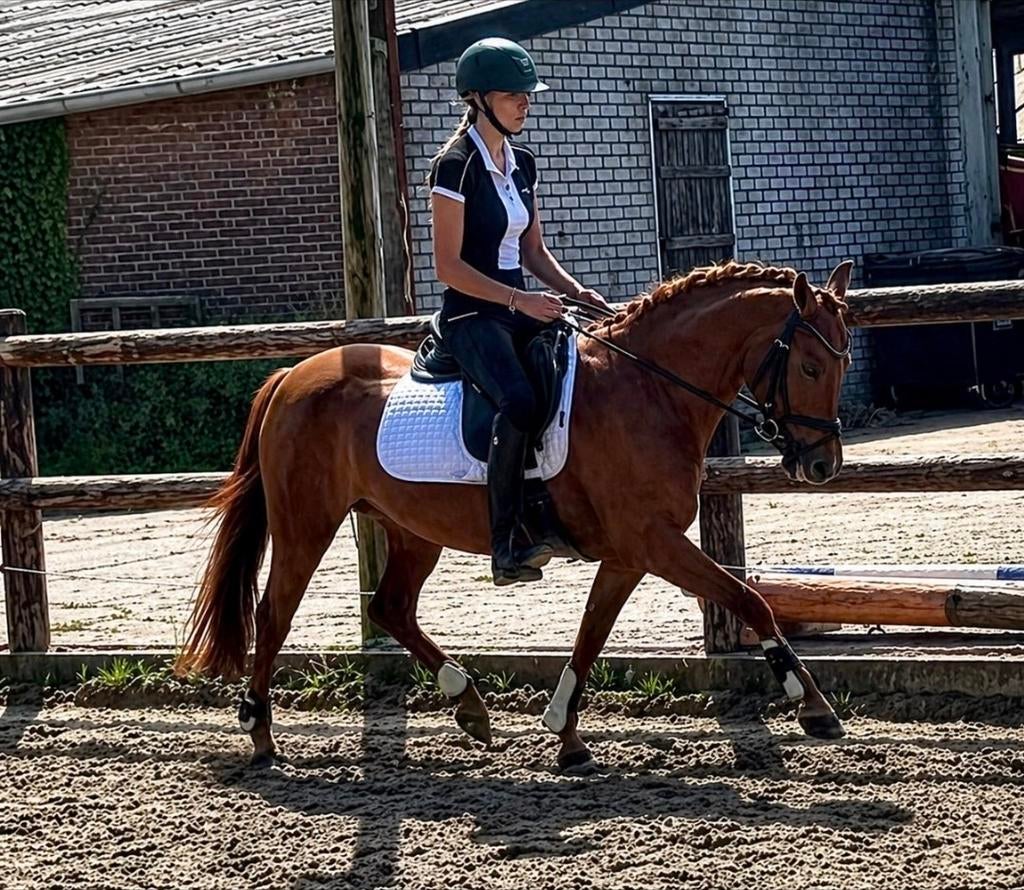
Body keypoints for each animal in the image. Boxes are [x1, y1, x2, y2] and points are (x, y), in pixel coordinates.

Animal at [176, 259, 854, 770]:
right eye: (810, 366)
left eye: (843, 363)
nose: (823, 465)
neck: (650, 391)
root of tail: (293, 375)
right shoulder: (654, 542)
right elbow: (749, 600)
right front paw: (814, 707)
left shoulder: (630, 553)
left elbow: (591, 633)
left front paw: (567, 736)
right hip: (306, 525)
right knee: (275, 614)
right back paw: (261, 736)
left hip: (412, 529)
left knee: (390, 607)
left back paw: (470, 705)